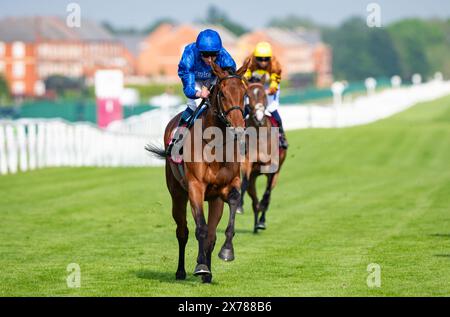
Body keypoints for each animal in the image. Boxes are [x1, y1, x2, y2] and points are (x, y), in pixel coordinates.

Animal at [146, 60, 250, 282]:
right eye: (223, 94)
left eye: (244, 93)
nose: (239, 129)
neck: (214, 144)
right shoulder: (195, 187)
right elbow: (200, 229)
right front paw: (201, 266)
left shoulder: (226, 187)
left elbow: (229, 208)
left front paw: (226, 252)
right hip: (177, 193)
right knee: (182, 231)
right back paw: (181, 271)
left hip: (214, 200)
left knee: (211, 233)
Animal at [239, 79, 288, 232]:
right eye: (247, 96)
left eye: (264, 95)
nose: (259, 117)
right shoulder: (247, 163)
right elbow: (244, 182)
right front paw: (239, 206)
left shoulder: (273, 167)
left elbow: (267, 193)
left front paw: (263, 209)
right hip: (254, 178)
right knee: (253, 198)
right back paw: (255, 223)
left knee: (267, 194)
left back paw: (261, 221)